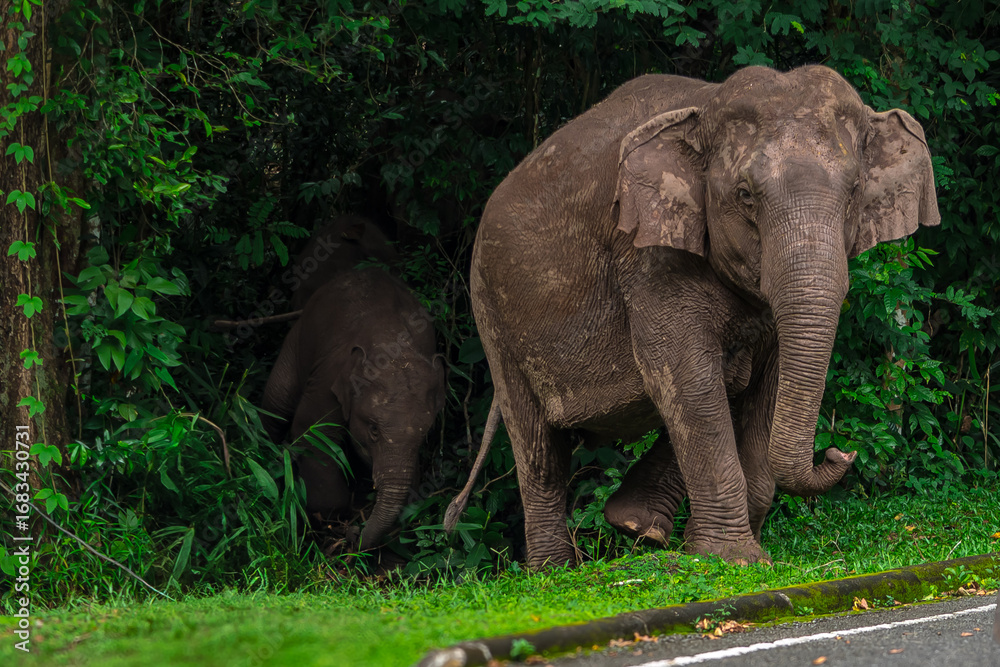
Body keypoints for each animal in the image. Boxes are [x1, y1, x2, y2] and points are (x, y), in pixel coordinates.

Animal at [262, 267, 447, 550]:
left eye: (425, 434)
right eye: (373, 429)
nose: (354, 533)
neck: (393, 344)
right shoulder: (328, 380)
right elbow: (315, 433)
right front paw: (330, 515)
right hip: (299, 336)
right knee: (277, 401)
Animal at [446, 65, 939, 568]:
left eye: (855, 191)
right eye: (745, 195)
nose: (843, 453)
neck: (706, 106)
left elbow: (763, 381)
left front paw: (736, 549)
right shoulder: (646, 254)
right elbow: (684, 373)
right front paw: (735, 558)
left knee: (726, 381)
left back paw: (636, 526)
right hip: (491, 311)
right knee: (538, 445)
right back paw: (556, 568)